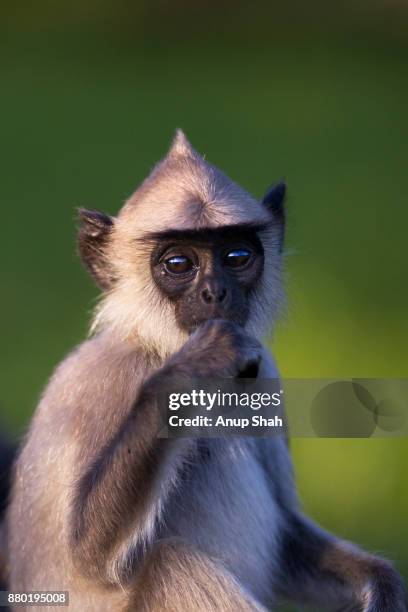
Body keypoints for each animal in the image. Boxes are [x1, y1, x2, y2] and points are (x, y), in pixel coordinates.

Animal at [4, 130, 406, 612]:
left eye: (237, 256)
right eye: (179, 265)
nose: (215, 292)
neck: (159, 346)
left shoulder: (263, 371)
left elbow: (288, 544)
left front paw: (383, 586)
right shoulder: (103, 379)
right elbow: (90, 555)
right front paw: (197, 365)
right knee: (169, 562)